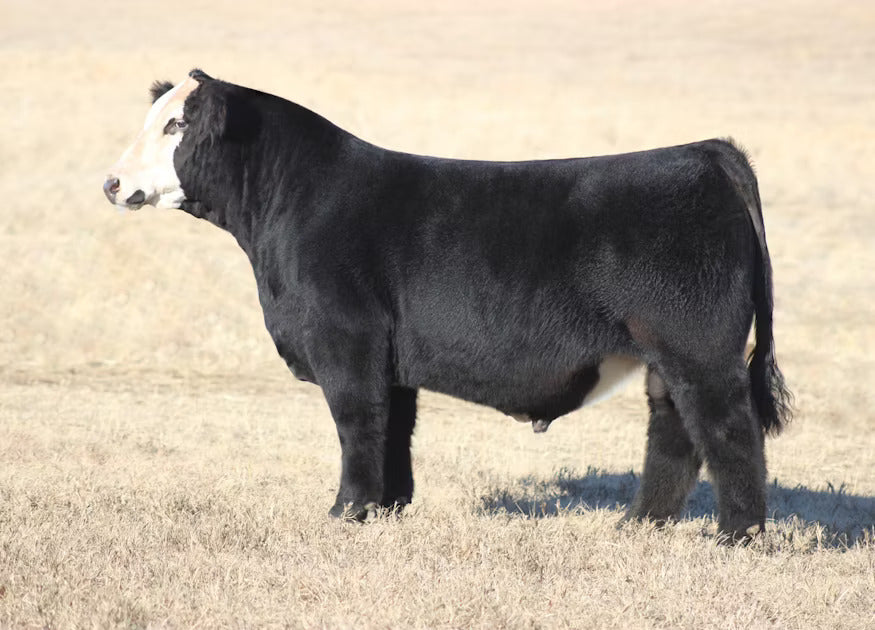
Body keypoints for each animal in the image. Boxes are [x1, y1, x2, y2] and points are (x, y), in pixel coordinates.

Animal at [103, 69, 791, 540]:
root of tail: (706, 151)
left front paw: (345, 511)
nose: (111, 182)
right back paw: (639, 524)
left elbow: (357, 423)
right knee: (674, 432)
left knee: (729, 432)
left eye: (175, 126)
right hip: (665, 359)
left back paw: (737, 537)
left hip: (700, 351)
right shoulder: (390, 358)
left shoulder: (345, 343)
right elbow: (394, 430)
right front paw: (386, 509)